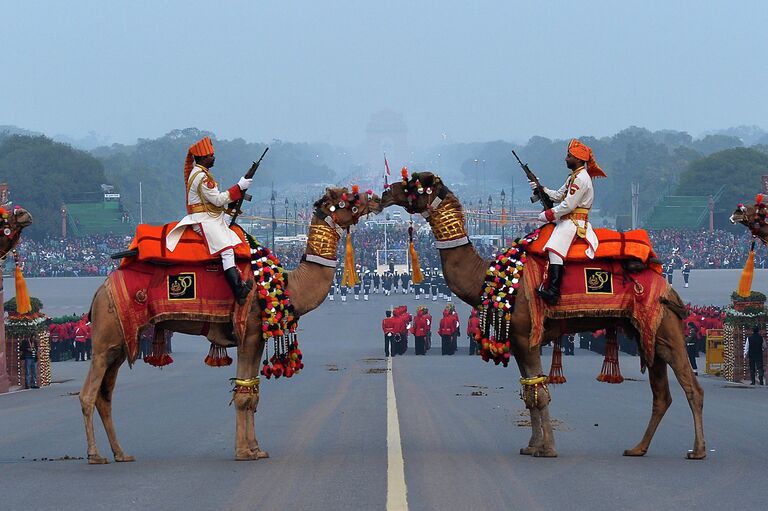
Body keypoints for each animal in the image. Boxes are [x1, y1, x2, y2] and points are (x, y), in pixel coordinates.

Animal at [81, 187, 380, 464]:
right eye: (350, 198)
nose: (377, 198)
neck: (287, 285)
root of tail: (100, 291)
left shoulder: (257, 338)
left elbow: (252, 389)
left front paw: (257, 449)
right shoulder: (249, 332)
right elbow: (244, 394)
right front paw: (243, 452)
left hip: (119, 343)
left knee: (105, 395)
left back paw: (121, 453)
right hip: (106, 336)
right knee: (88, 394)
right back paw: (95, 455)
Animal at [380, 173, 704, 460]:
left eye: (414, 183)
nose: (385, 192)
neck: (490, 278)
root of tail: (666, 285)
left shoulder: (527, 336)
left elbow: (540, 389)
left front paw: (547, 449)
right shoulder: (519, 340)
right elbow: (528, 390)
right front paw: (532, 445)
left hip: (665, 327)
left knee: (691, 385)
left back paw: (697, 450)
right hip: (647, 333)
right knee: (661, 393)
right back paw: (638, 448)